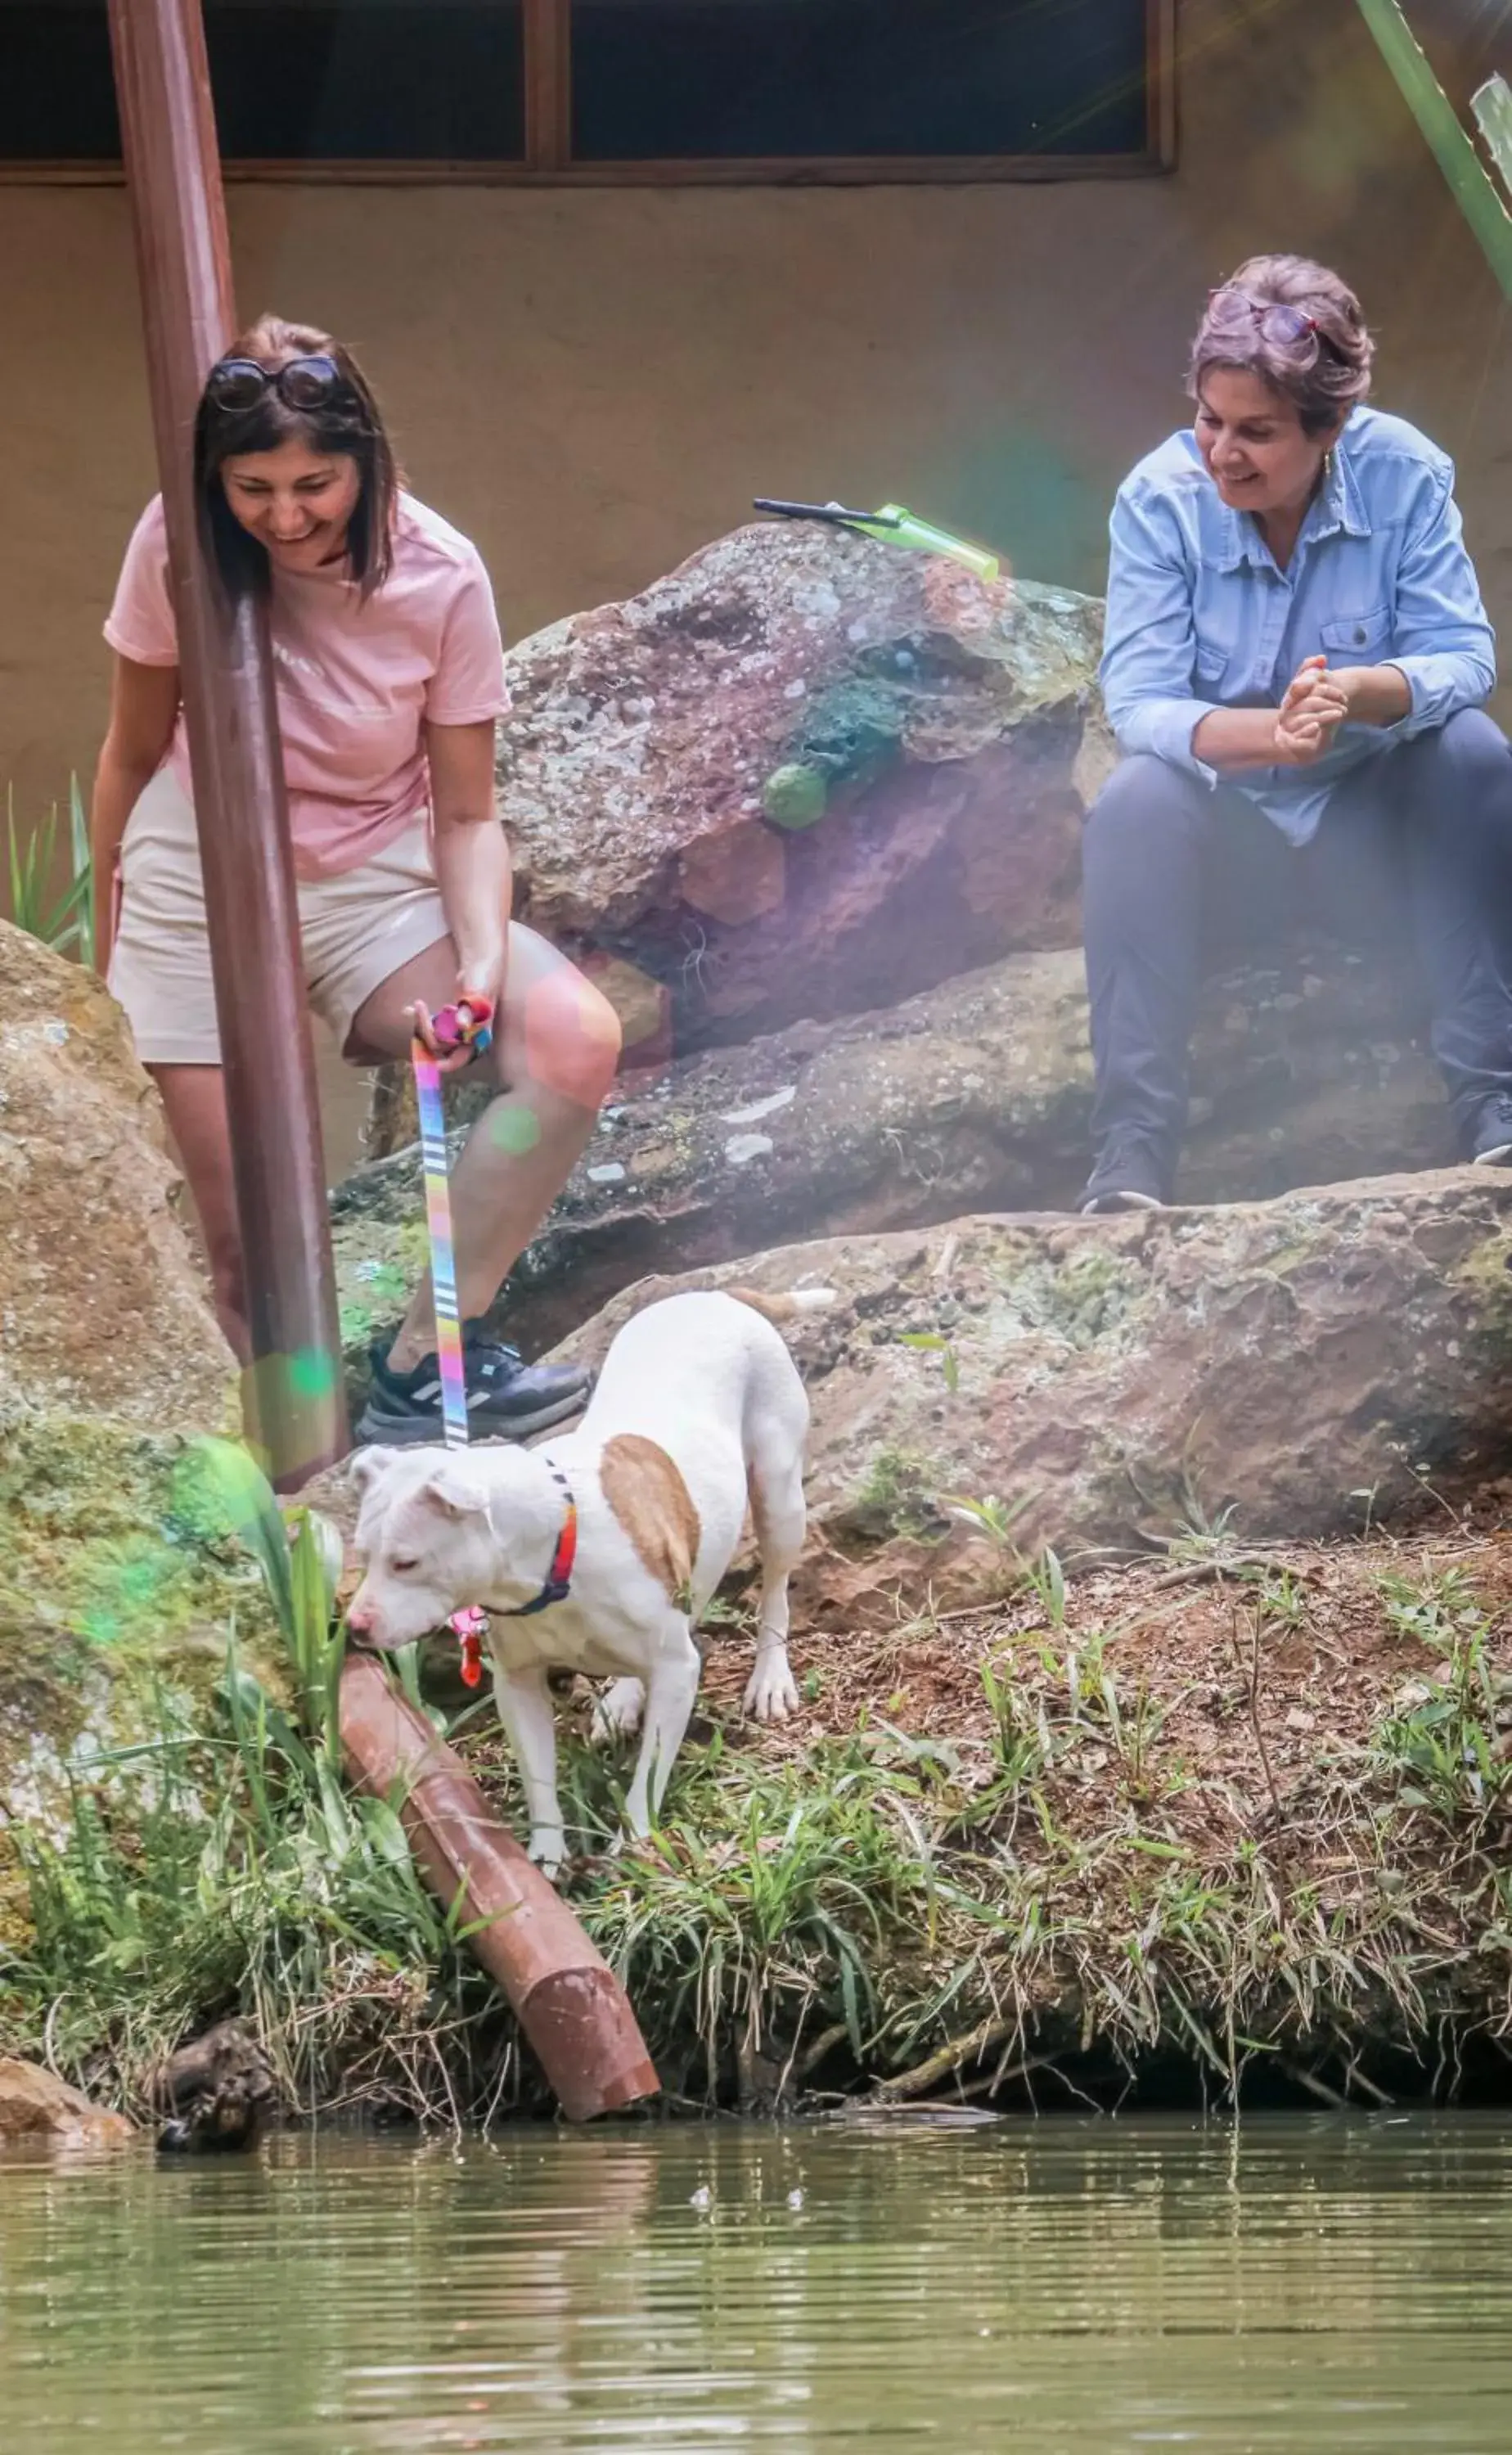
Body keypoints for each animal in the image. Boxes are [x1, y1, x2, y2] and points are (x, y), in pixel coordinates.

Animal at [346, 1286, 835, 1876]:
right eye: (363, 1555)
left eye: (407, 1563)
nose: (354, 1626)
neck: (555, 1555)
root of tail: (716, 1293)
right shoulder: (518, 1683)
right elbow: (538, 1773)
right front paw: (545, 1853)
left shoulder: (676, 1669)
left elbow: (650, 1770)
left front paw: (636, 1838)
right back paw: (624, 1698)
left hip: (778, 1493)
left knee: (777, 1586)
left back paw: (770, 1676)